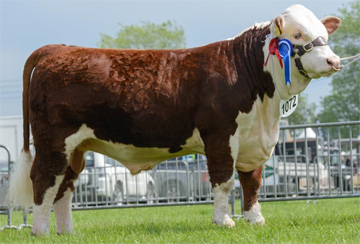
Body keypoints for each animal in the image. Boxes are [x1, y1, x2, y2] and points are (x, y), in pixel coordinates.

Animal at [7, 4, 340, 235]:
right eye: (297, 35)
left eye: (324, 35)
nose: (333, 60)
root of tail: (59, 49)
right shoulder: (220, 135)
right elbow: (224, 181)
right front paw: (224, 221)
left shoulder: (253, 140)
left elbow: (252, 181)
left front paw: (255, 219)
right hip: (53, 141)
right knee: (44, 180)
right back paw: (40, 231)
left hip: (76, 147)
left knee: (64, 186)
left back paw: (67, 232)